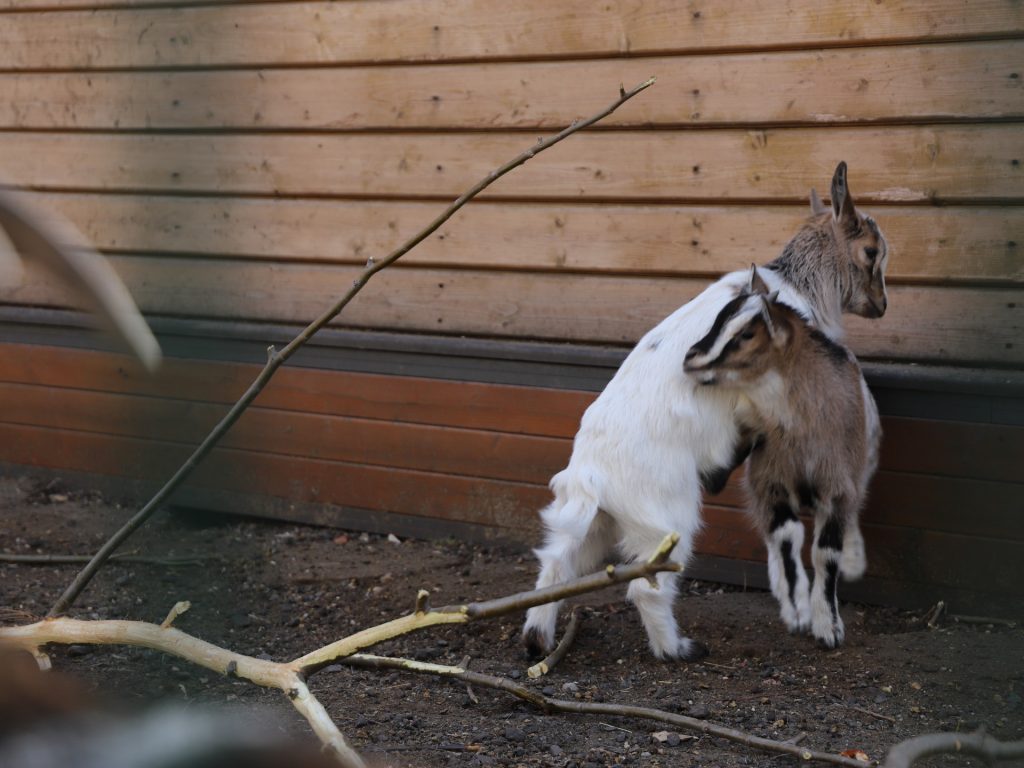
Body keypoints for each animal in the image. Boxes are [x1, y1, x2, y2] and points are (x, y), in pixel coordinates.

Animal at [683, 269, 881, 648]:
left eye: (747, 334)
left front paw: (829, 626)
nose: (690, 357)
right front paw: (797, 608)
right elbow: (788, 536)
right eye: (720, 317)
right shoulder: (770, 480)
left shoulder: (837, 487)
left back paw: (853, 558)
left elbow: (825, 552)